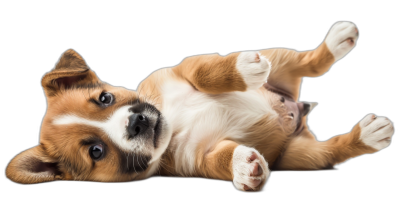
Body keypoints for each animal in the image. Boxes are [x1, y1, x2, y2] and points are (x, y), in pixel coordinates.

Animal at [5, 21, 394, 192]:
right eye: (96, 151)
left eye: (105, 98)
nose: (136, 122)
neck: (175, 123)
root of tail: (298, 111)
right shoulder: (200, 160)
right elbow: (223, 160)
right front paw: (246, 168)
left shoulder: (183, 68)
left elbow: (208, 72)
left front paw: (242, 69)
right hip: (301, 156)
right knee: (332, 149)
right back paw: (369, 134)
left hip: (279, 59)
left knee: (311, 62)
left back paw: (337, 38)